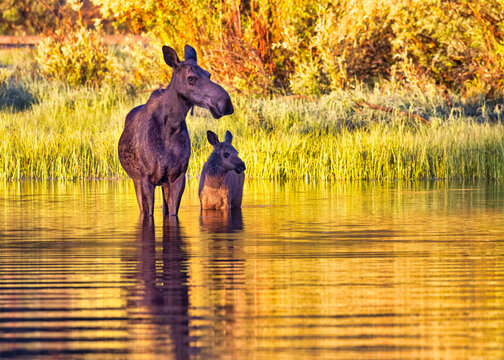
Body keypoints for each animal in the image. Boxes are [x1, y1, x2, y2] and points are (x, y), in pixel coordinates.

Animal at [118, 46, 234, 218]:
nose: (226, 103)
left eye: (208, 74)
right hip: (136, 180)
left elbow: (172, 213)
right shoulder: (146, 179)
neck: (170, 127)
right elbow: (148, 213)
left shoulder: (177, 177)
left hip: (162, 183)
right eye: (191, 78)